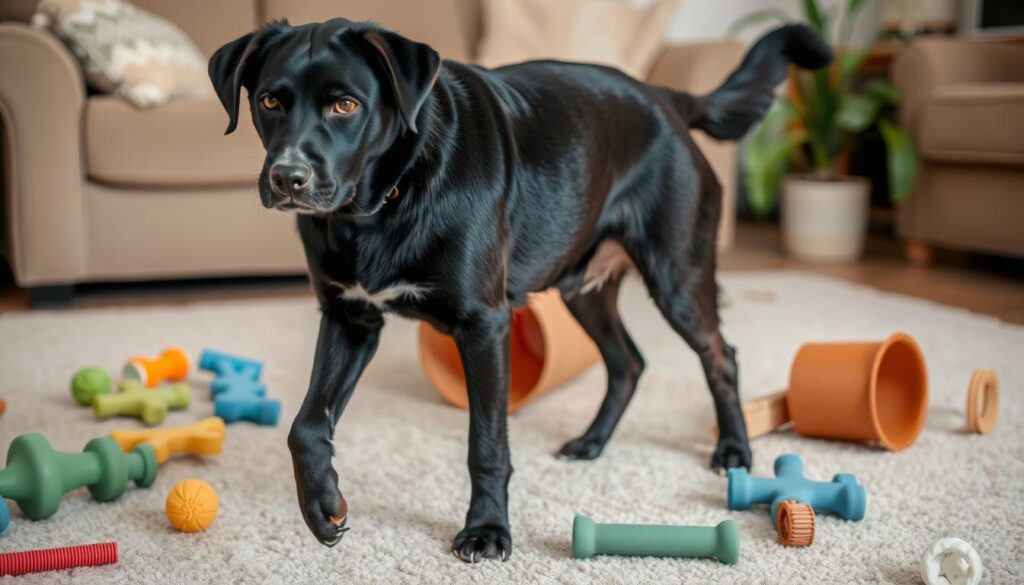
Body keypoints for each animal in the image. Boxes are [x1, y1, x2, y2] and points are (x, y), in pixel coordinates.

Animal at [207, 21, 831, 561]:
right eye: (270, 102)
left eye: (345, 105)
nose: (288, 179)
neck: (385, 202)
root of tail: (665, 97)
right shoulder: (350, 316)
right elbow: (306, 426)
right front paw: (322, 507)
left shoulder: (484, 327)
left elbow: (486, 444)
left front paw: (487, 530)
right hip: (582, 287)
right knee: (628, 361)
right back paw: (591, 442)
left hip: (677, 274)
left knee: (720, 355)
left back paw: (734, 451)